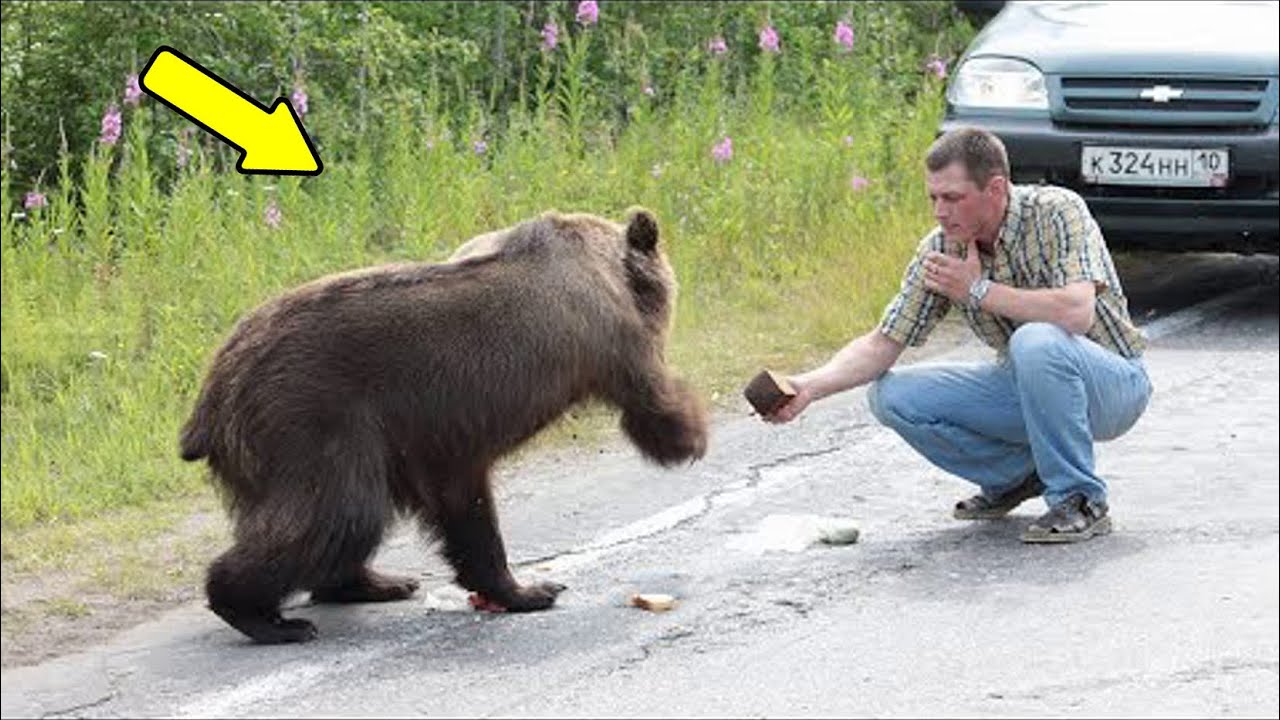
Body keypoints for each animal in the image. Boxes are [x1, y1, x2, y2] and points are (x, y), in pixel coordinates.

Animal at [179, 208, 708, 644]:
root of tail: (212, 394)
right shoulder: (609, 335)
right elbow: (649, 398)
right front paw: (690, 436)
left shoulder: (440, 442)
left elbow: (465, 514)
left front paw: (520, 587)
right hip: (311, 418)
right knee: (339, 513)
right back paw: (269, 617)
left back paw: (381, 582)